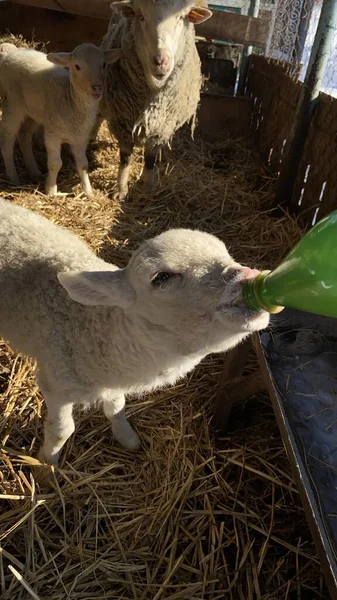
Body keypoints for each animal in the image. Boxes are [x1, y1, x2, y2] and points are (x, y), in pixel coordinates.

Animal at [0, 45, 120, 199]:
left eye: (104, 64)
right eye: (77, 66)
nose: (97, 87)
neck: (70, 101)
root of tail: (11, 54)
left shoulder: (81, 138)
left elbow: (83, 165)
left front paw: (88, 192)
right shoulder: (53, 134)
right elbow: (55, 164)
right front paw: (51, 191)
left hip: (33, 111)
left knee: (24, 136)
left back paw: (34, 172)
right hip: (13, 104)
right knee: (7, 140)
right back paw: (13, 177)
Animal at [0, 199, 268, 466]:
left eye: (227, 253)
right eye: (161, 277)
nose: (248, 277)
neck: (90, 326)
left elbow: (117, 406)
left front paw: (127, 438)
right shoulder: (55, 381)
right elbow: (61, 430)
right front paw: (46, 465)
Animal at [92, 0, 210, 202]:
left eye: (181, 17)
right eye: (140, 16)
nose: (160, 61)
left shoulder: (162, 127)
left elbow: (150, 159)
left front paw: (149, 189)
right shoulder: (122, 122)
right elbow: (125, 158)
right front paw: (120, 190)